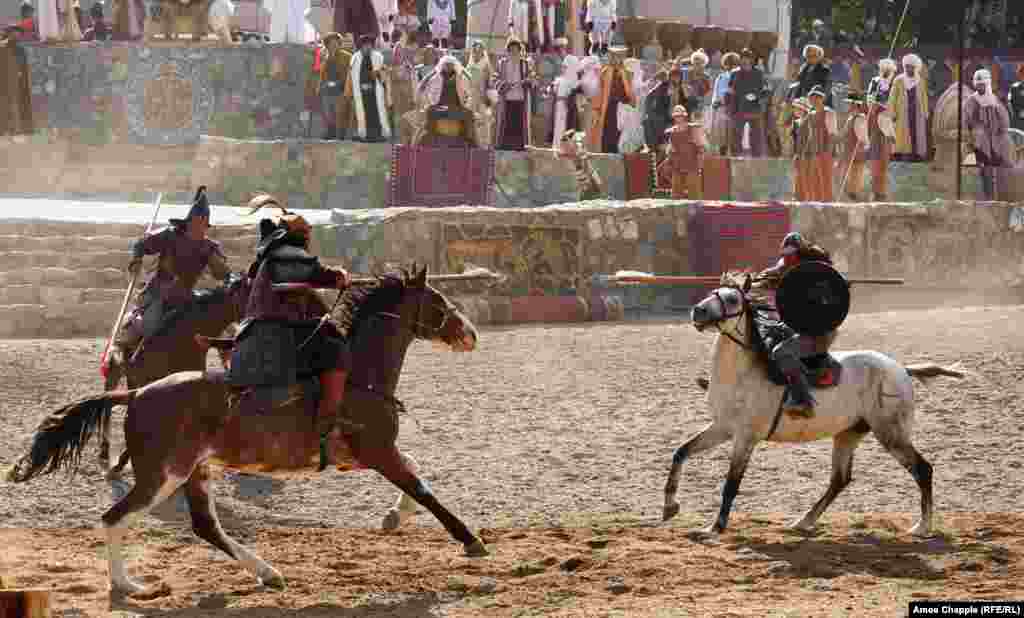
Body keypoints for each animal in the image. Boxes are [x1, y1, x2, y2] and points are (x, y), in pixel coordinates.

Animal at [7, 263, 487, 593]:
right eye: (439, 302)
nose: (472, 334)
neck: (357, 375)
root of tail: (138, 393)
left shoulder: (364, 455)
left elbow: (416, 475)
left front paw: (393, 517)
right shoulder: (377, 451)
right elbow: (422, 488)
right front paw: (470, 541)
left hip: (195, 471)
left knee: (205, 526)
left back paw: (267, 573)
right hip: (165, 474)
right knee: (115, 518)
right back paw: (126, 585)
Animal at [659, 272, 962, 540]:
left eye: (733, 299)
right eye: (713, 292)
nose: (698, 311)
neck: (743, 374)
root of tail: (901, 369)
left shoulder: (745, 438)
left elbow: (731, 484)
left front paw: (715, 528)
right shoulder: (722, 428)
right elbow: (681, 452)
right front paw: (669, 507)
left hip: (891, 433)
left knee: (922, 469)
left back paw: (922, 527)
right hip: (849, 433)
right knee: (840, 479)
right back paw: (804, 521)